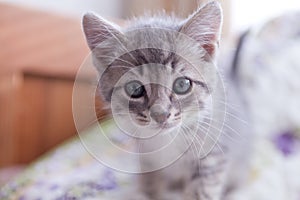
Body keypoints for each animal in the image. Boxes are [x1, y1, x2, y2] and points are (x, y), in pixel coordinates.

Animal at [81, 1, 251, 200]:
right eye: (135, 89)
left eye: (182, 84)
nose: (160, 114)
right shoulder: (147, 157)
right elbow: (151, 183)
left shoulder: (212, 155)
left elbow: (202, 190)